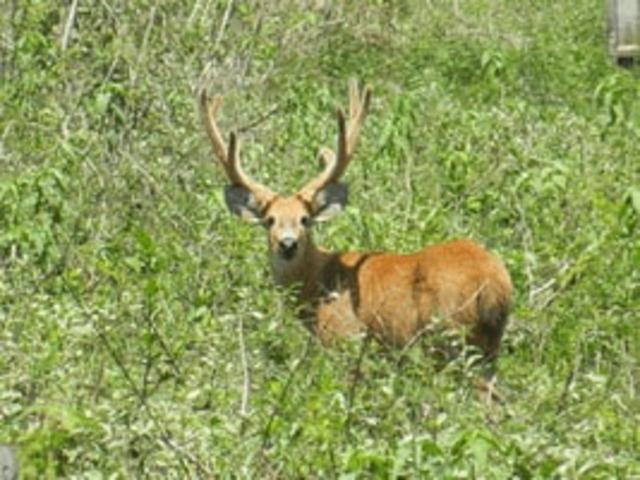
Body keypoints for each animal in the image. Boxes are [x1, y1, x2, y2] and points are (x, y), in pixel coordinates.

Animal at [198, 81, 512, 378]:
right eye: (270, 220)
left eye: (305, 219)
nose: (287, 244)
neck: (318, 284)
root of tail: (495, 284)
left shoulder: (345, 337)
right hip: (486, 348)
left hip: (448, 336)